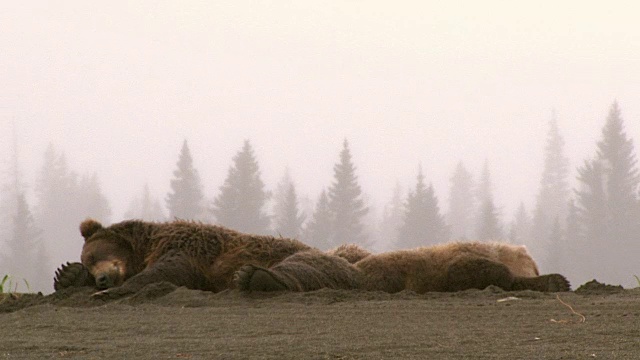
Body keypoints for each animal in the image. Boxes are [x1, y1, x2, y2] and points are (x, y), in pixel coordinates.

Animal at [66, 217, 364, 298]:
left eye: (94, 255)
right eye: (89, 264)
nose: (102, 280)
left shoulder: (184, 247)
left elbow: (168, 271)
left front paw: (108, 293)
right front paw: (69, 275)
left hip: (303, 254)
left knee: (301, 267)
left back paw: (255, 277)